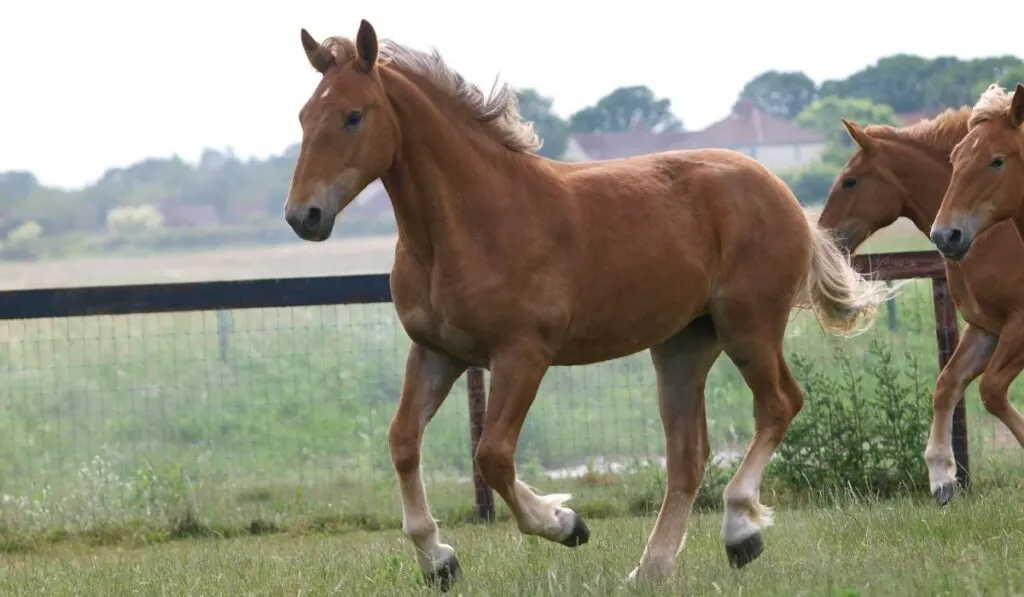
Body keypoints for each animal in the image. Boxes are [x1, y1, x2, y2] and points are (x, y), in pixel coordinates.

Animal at [280, 17, 888, 589]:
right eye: (305, 117)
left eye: (353, 116)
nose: (303, 216)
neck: (473, 222)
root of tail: (780, 189)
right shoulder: (437, 352)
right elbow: (403, 442)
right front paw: (439, 561)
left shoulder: (522, 355)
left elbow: (492, 454)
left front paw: (565, 523)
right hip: (683, 345)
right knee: (688, 456)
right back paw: (651, 569)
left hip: (748, 326)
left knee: (779, 404)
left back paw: (740, 532)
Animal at [819, 104, 1024, 507]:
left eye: (850, 181)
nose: (823, 237)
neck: (992, 235)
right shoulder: (985, 329)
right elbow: (947, 385)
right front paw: (942, 479)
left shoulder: (1018, 325)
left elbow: (991, 390)